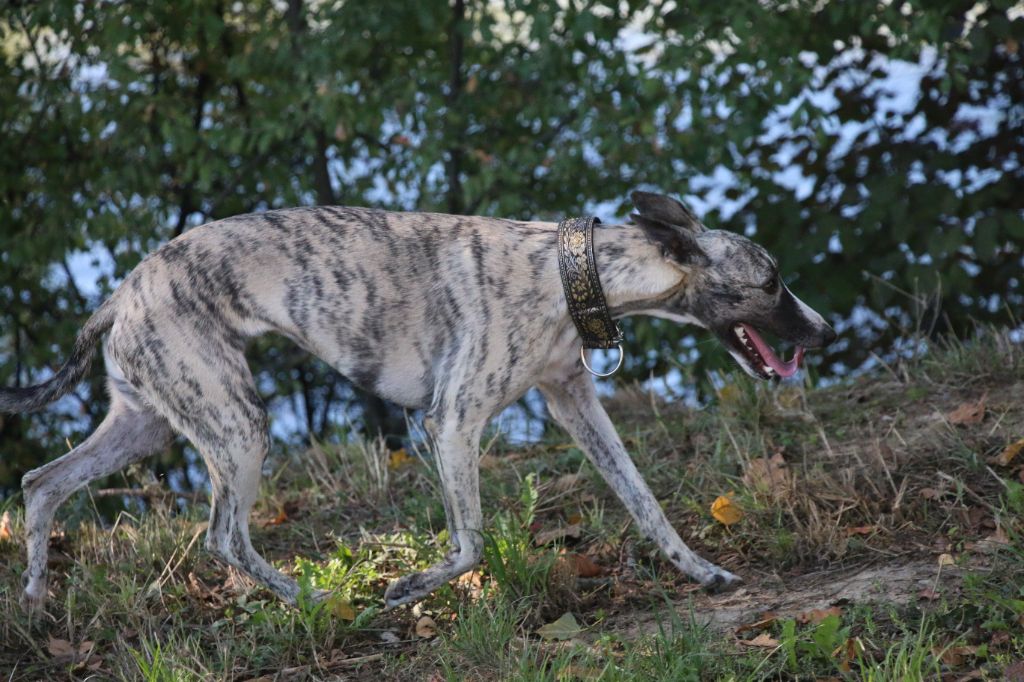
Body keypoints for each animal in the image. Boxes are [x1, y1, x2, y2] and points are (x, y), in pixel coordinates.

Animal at [1, 191, 835, 614]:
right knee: (224, 539)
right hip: (237, 426)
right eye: (770, 282)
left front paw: (702, 572)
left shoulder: (572, 401)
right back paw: (311, 598)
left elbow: (644, 501)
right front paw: (408, 588)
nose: (824, 331)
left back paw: (36, 599)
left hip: (145, 423)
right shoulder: (452, 422)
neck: (568, 271)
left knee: (40, 484)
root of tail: (121, 294)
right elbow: (470, 543)